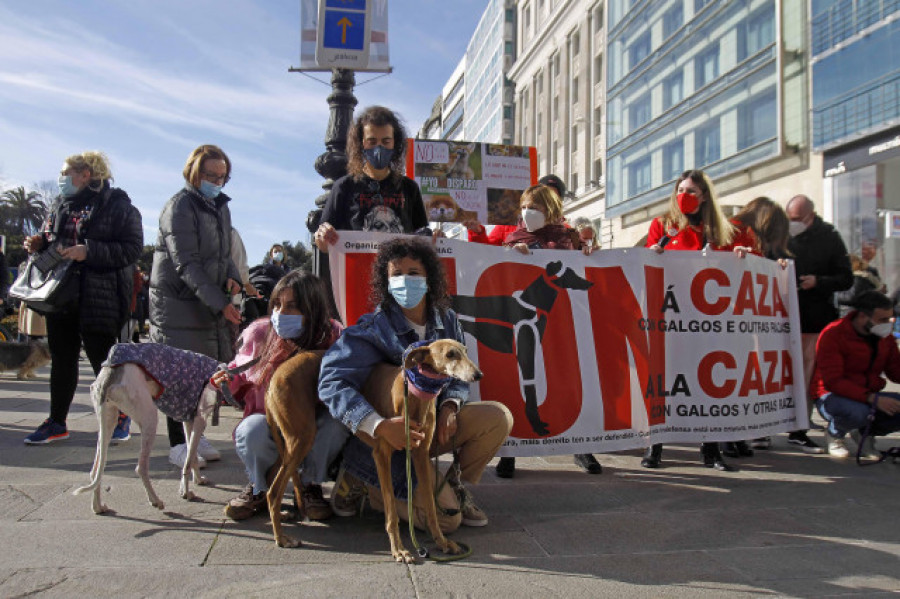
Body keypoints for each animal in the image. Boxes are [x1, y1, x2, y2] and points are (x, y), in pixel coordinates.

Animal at [72, 342, 223, 516]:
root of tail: (110, 373)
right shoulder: (199, 420)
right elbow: (188, 460)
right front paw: (185, 492)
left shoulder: (189, 420)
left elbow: (192, 457)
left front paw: (197, 481)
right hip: (149, 417)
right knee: (141, 468)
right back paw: (155, 500)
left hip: (108, 420)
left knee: (96, 469)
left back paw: (97, 506)